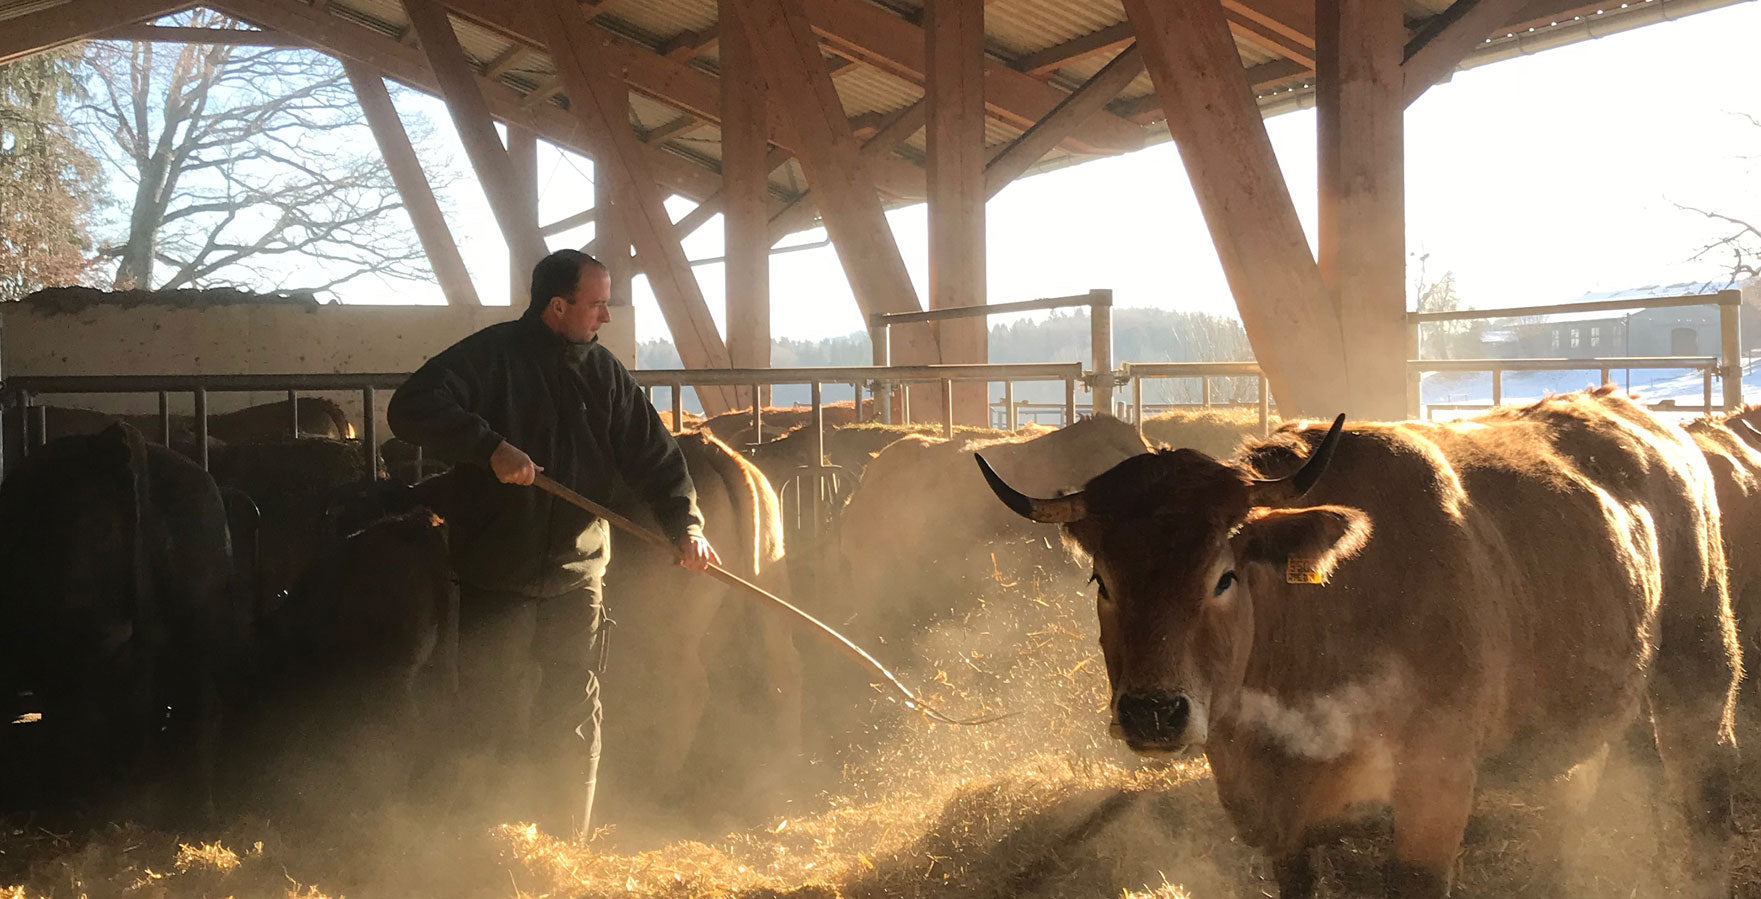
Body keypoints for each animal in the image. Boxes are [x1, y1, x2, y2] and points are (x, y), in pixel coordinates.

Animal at [986, 388, 1739, 899]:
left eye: (1224, 575)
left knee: (1704, 776)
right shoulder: (1276, 824)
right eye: (1102, 579)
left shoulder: (1435, 791)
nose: (1152, 713)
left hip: (1700, 659)